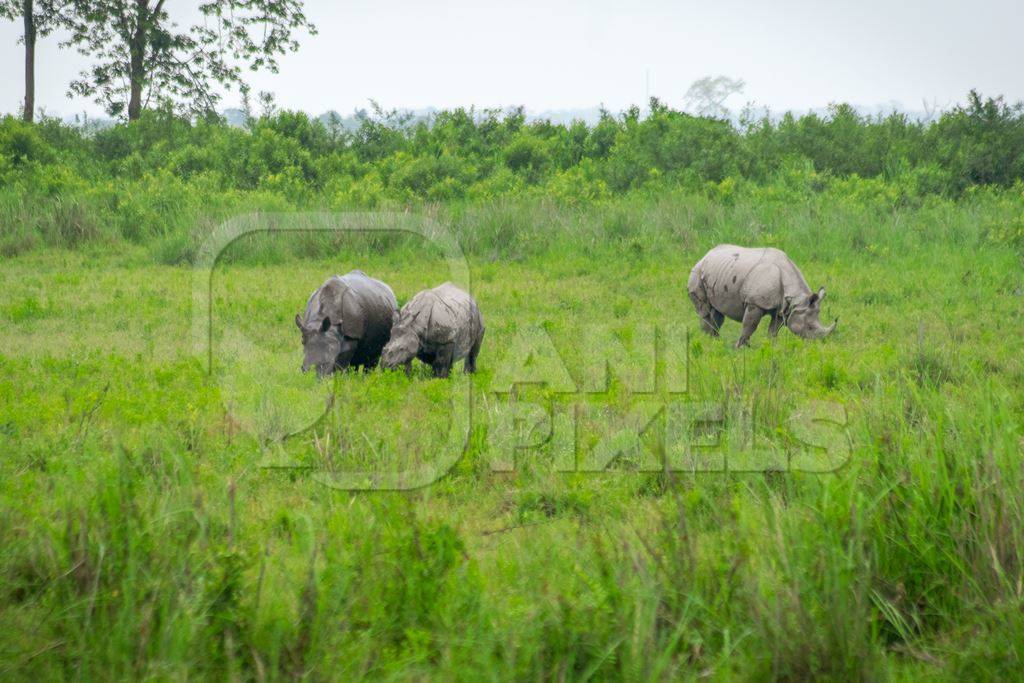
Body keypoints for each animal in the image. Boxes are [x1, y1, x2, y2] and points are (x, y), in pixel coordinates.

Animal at [688, 245, 839, 350]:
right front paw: (741, 348)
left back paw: (716, 341)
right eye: (809, 327)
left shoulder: (782, 309)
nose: (817, 345)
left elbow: (773, 330)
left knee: (717, 314)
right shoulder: (755, 303)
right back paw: (708, 342)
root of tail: (705, 256)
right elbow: (749, 325)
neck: (796, 299)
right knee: (705, 311)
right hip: (697, 273)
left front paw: (771, 346)